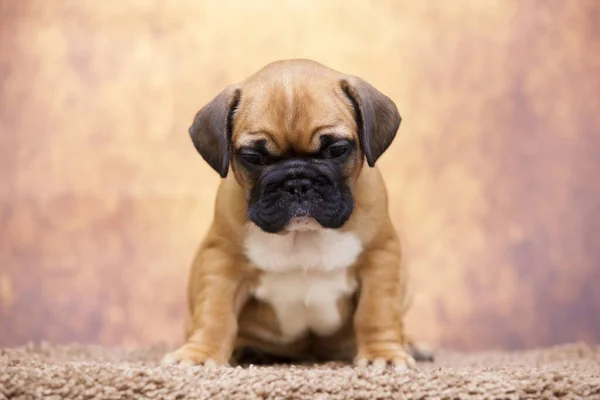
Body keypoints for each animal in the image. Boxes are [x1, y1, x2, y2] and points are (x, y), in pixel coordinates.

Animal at [162, 58, 428, 368]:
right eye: (254, 157)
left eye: (336, 150)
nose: (297, 182)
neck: (303, 235)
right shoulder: (221, 262)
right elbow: (215, 313)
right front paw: (201, 354)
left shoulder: (380, 259)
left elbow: (376, 311)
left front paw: (382, 354)